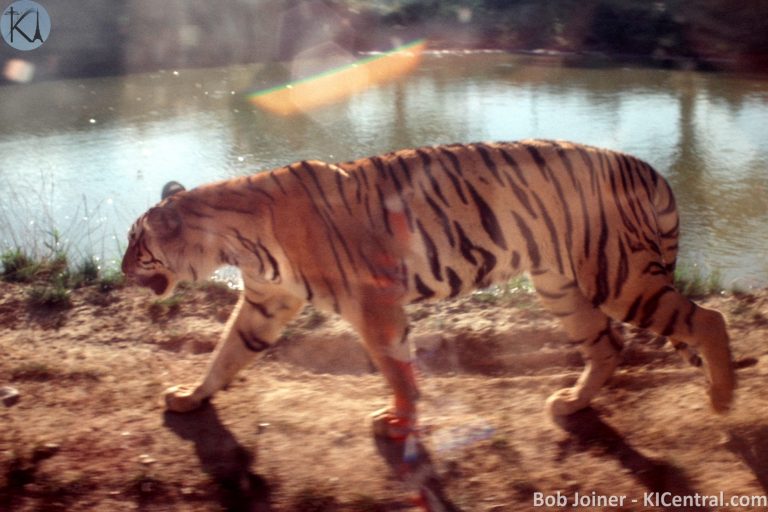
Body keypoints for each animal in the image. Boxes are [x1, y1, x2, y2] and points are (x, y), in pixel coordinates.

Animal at [121, 139, 735, 439]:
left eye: (135, 241)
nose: (121, 268)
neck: (236, 240)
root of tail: (645, 166)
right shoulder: (266, 303)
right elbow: (225, 354)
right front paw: (190, 397)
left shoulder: (374, 302)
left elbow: (396, 368)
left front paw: (398, 421)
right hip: (560, 285)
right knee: (607, 345)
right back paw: (570, 403)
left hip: (617, 276)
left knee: (707, 319)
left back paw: (723, 400)